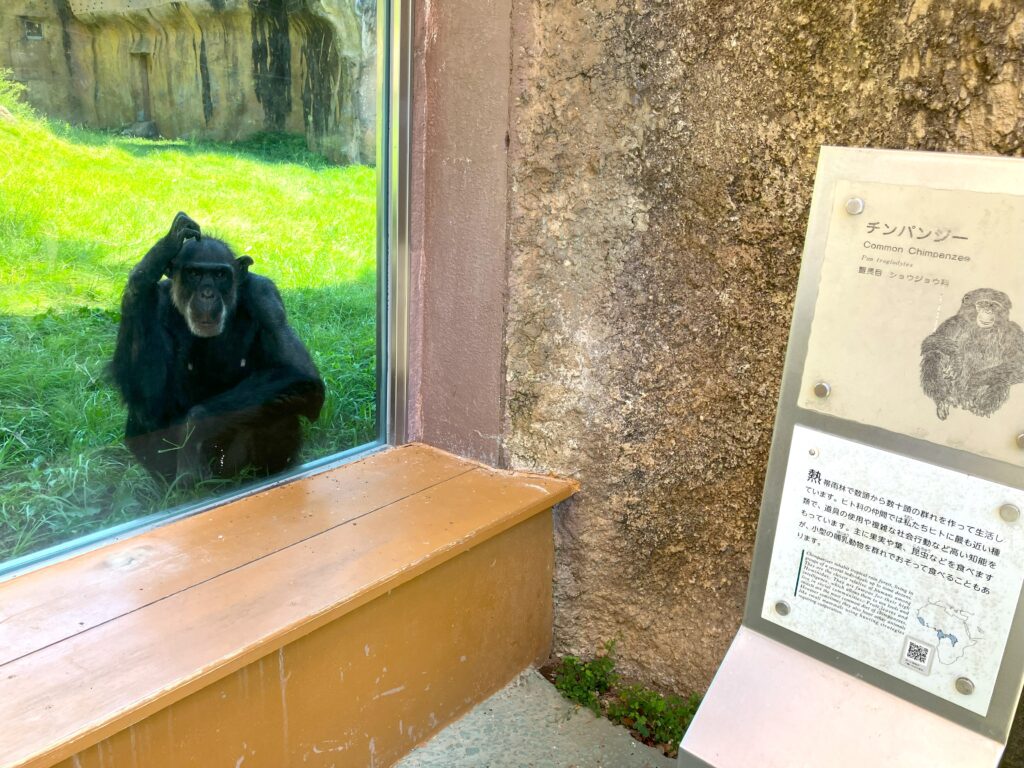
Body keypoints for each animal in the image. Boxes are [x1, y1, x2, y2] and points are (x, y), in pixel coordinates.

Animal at [111, 210, 323, 487]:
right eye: (194, 274)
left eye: (220, 275)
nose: (207, 293)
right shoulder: (157, 302)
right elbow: (148, 397)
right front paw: (159, 254)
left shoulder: (265, 296)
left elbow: (298, 370)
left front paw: (193, 428)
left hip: (230, 467)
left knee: (282, 404)